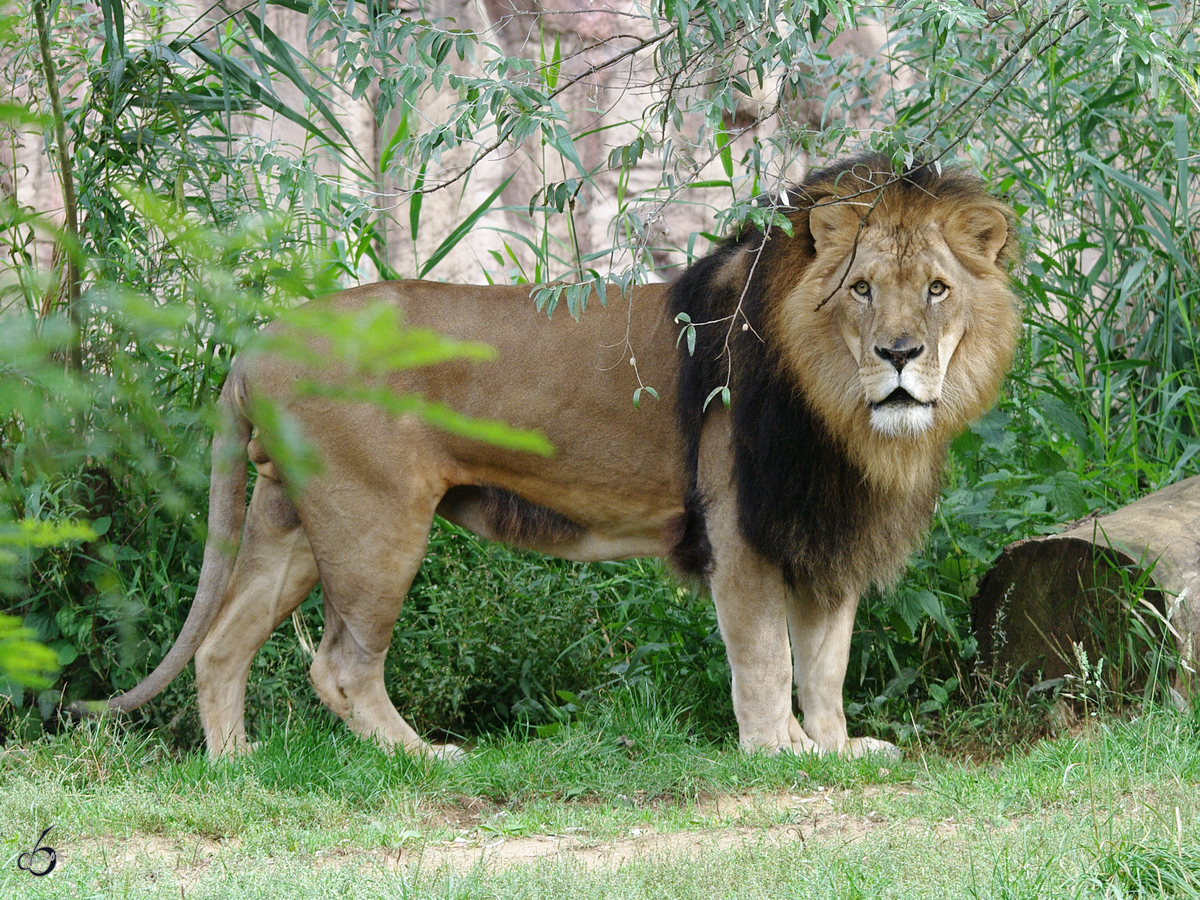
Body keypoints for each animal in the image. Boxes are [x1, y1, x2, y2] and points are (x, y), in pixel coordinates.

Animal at [88, 157, 1017, 763]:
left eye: (936, 289)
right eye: (862, 288)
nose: (900, 354)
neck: (841, 412)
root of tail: (259, 340)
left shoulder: (827, 527)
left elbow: (826, 658)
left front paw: (836, 747)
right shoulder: (744, 527)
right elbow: (763, 654)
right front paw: (778, 753)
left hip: (289, 517)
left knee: (220, 645)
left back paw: (238, 770)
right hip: (374, 522)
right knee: (341, 665)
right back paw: (421, 758)